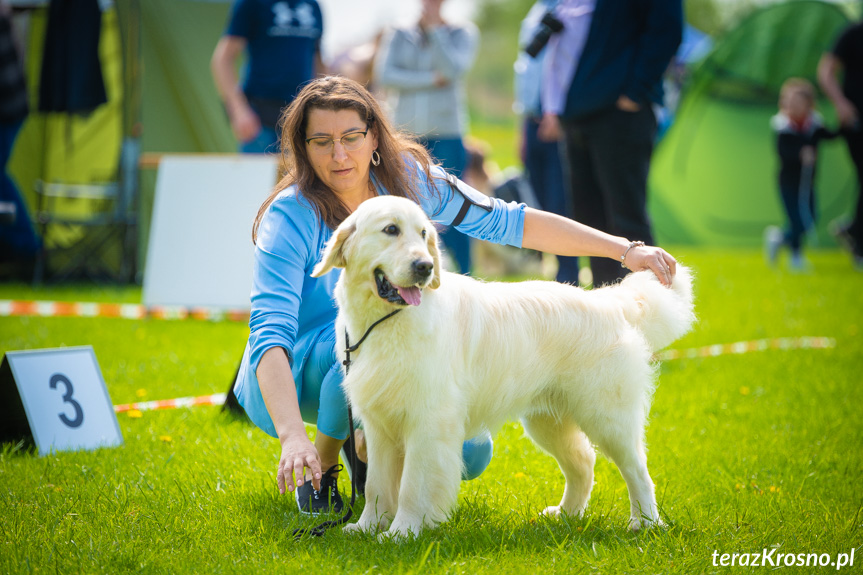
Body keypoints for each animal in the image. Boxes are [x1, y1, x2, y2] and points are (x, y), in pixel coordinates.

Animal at [310, 197, 696, 540]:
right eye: (391, 229)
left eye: (423, 234)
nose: (425, 267)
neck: (386, 321)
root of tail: (608, 300)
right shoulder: (379, 425)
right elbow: (376, 484)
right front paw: (366, 527)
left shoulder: (427, 424)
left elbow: (412, 486)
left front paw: (402, 533)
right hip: (548, 420)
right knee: (583, 462)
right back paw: (565, 515)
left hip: (606, 416)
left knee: (637, 469)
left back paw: (645, 523)